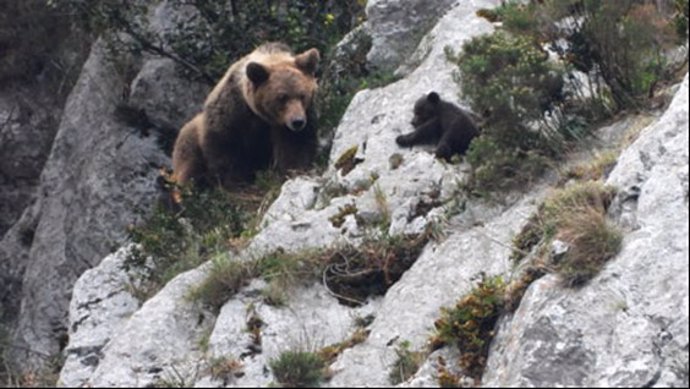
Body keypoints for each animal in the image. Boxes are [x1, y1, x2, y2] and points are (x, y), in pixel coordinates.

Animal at [173, 41, 322, 190]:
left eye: (302, 95)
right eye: (282, 97)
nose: (297, 121)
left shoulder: (291, 122)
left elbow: (295, 145)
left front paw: (292, 171)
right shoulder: (233, 113)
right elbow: (226, 149)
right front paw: (236, 182)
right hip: (189, 141)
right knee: (190, 168)